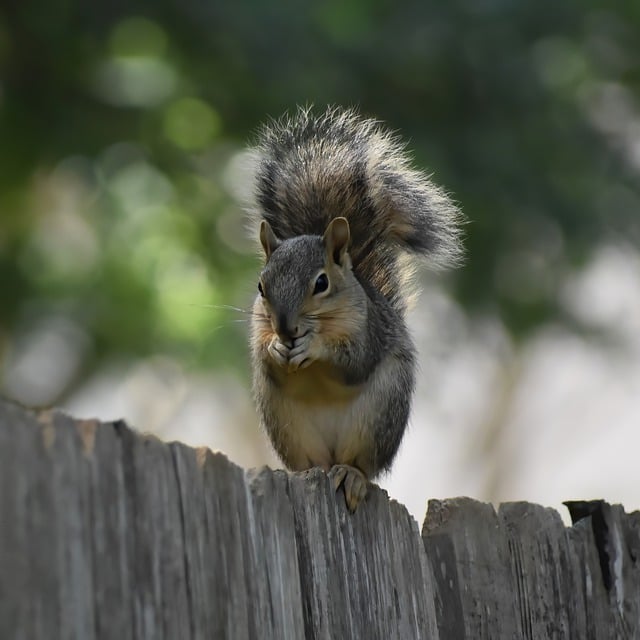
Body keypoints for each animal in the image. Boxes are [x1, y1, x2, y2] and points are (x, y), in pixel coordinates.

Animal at [245, 107, 460, 512]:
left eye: (321, 283)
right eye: (261, 287)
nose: (285, 329)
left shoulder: (369, 330)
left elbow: (355, 362)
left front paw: (314, 347)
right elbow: (268, 361)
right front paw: (275, 349)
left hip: (377, 419)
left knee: (360, 464)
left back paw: (353, 476)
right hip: (287, 426)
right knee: (312, 462)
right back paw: (309, 472)